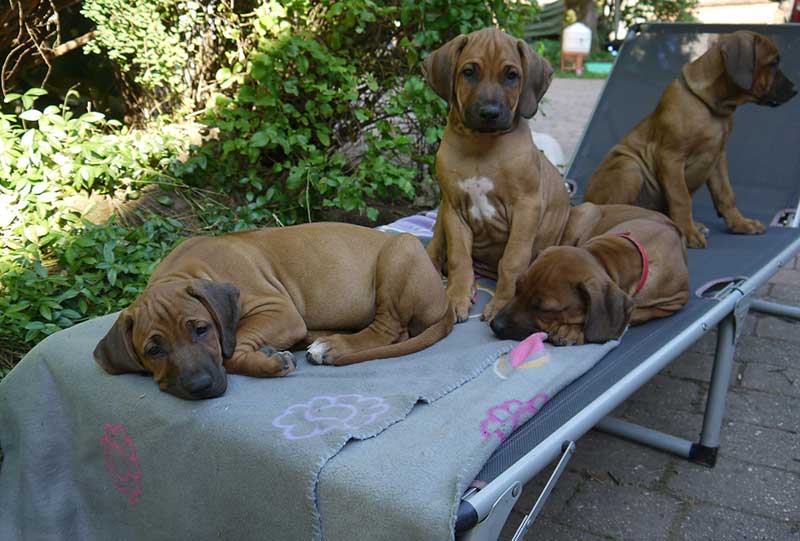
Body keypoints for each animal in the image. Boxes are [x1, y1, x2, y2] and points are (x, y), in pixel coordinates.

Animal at [92, 221, 456, 398]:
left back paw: (332, 346)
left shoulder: (278, 310)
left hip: (401, 250)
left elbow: (231, 348)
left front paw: (267, 361)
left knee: (388, 329)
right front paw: (268, 355)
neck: (188, 271)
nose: (199, 387)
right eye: (153, 350)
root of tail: (445, 300)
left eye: (201, 329)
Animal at [490, 202, 692, 346]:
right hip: (585, 213)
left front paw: (573, 330)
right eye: (517, 288)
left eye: (544, 310)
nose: (494, 325)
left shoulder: (673, 302)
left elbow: (634, 313)